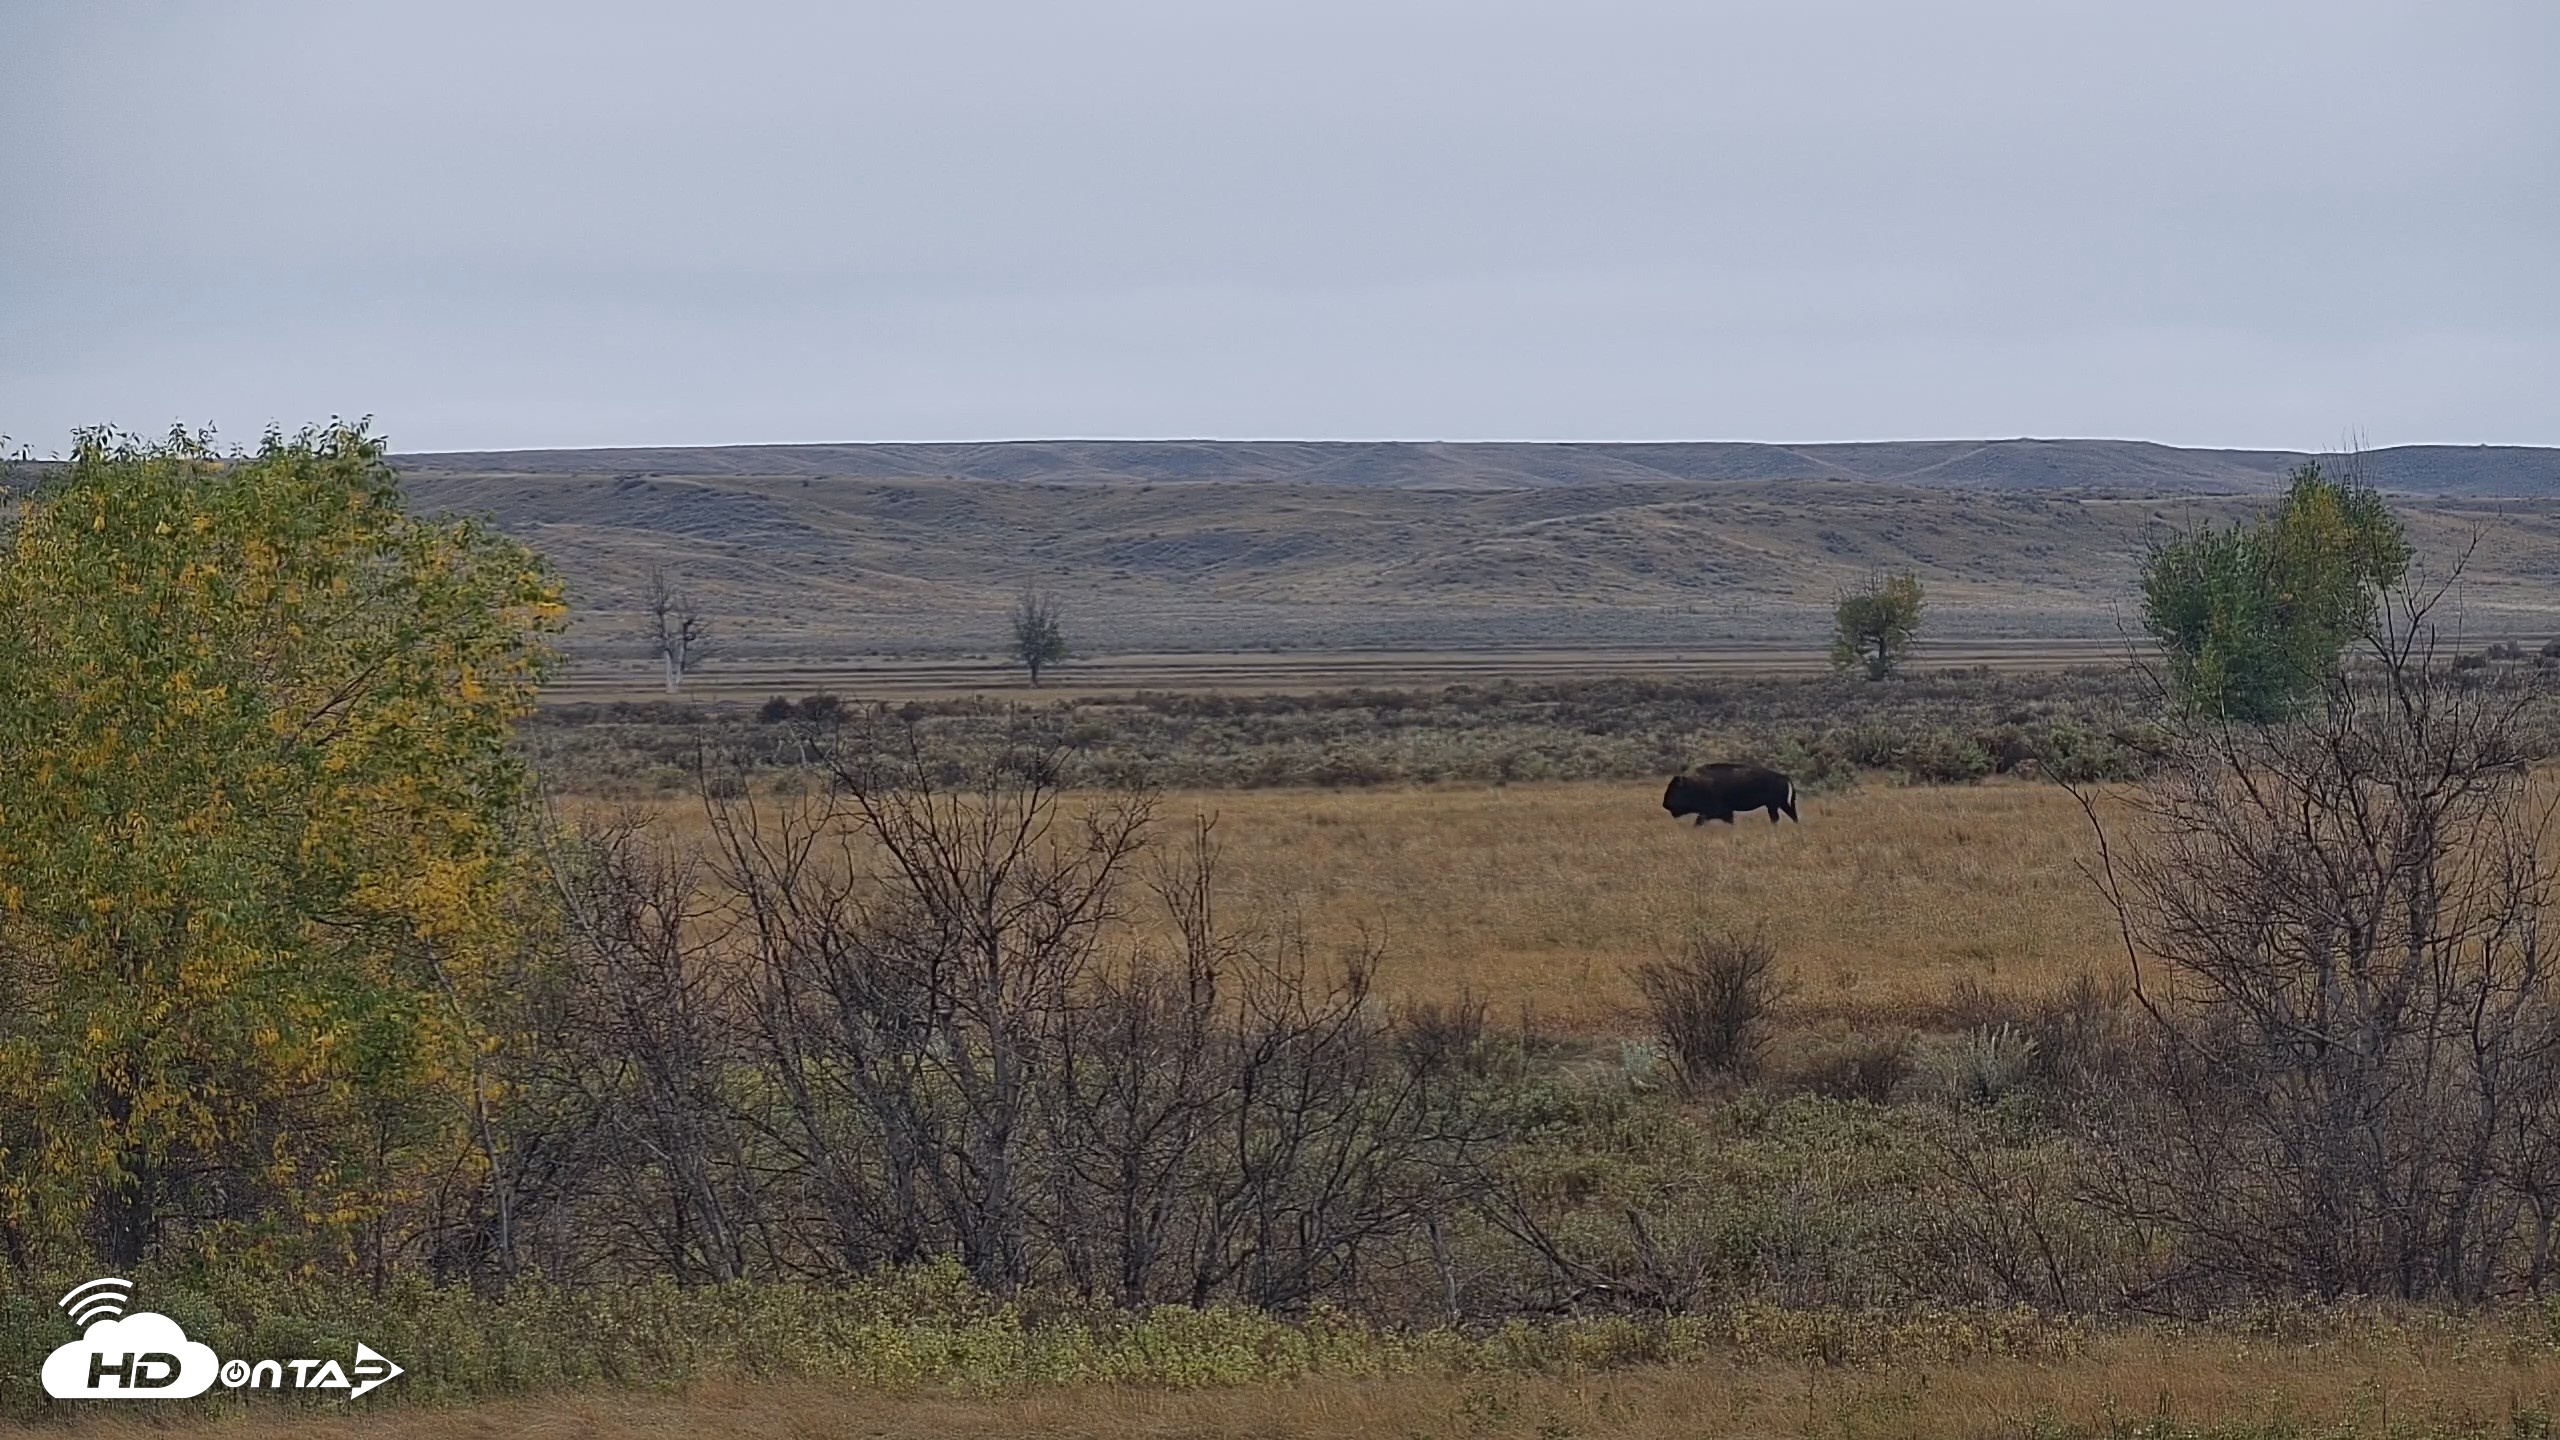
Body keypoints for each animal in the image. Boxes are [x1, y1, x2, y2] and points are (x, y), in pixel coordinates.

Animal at [1662, 764, 1798, 826]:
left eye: (1676, 790)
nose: (1665, 804)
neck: (1695, 784)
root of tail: (1784, 777)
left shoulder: (1715, 811)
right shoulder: (1723, 813)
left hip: (1778, 804)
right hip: (1773, 805)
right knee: (1779, 817)